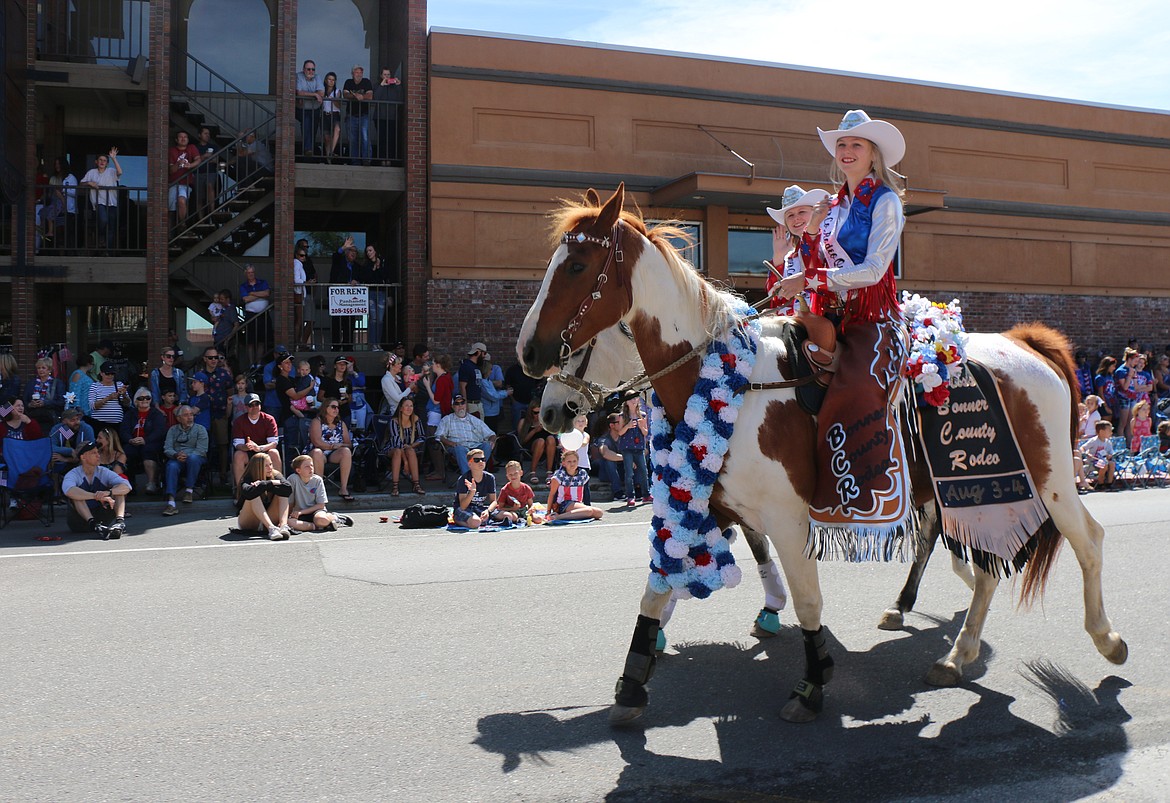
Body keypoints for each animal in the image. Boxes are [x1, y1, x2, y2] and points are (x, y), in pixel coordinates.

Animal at [517, 186, 1127, 725]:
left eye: (577, 266)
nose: (531, 363)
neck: (734, 384)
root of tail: (1025, 343)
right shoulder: (705, 503)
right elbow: (657, 590)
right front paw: (632, 682)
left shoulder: (787, 518)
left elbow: (808, 600)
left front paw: (811, 685)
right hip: (963, 490)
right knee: (981, 565)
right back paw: (956, 653)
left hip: (1047, 480)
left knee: (1087, 541)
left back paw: (1106, 639)